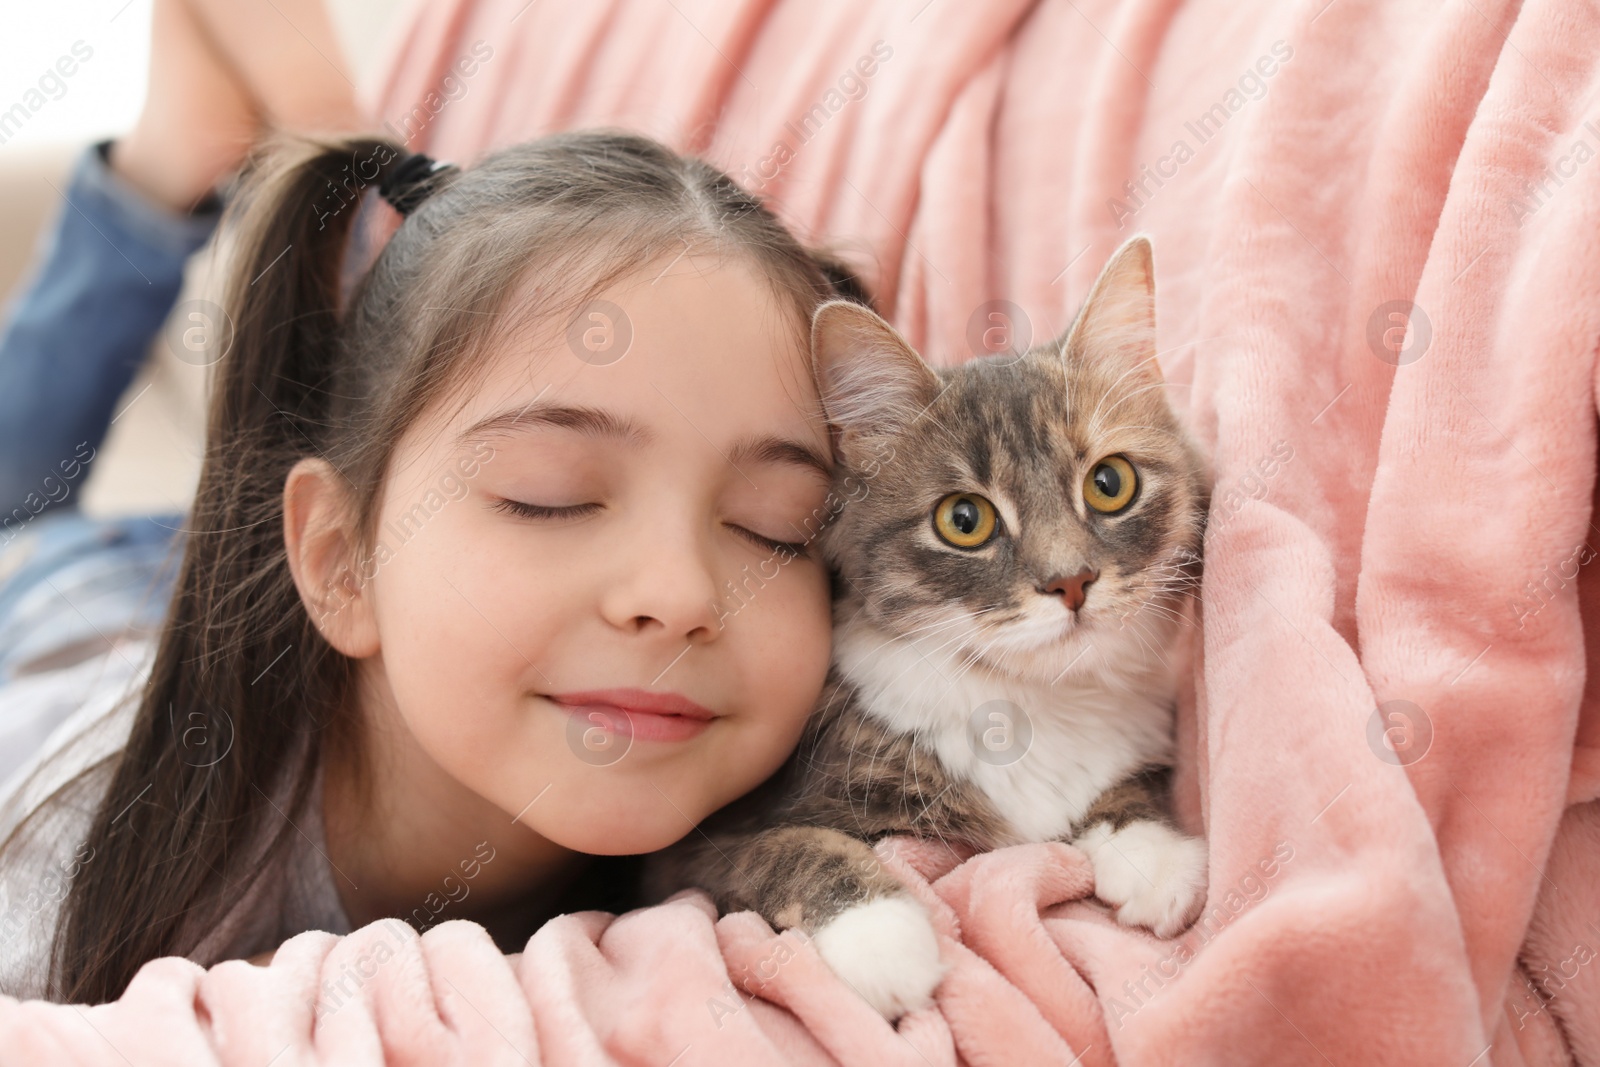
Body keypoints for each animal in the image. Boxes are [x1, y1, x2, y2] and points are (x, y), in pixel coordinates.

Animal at [643, 238, 1203, 1023]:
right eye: (964, 520)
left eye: (1110, 483)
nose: (1072, 582)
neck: (1031, 703)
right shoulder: (692, 852)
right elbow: (794, 847)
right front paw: (885, 937)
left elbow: (1123, 787)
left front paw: (1152, 852)